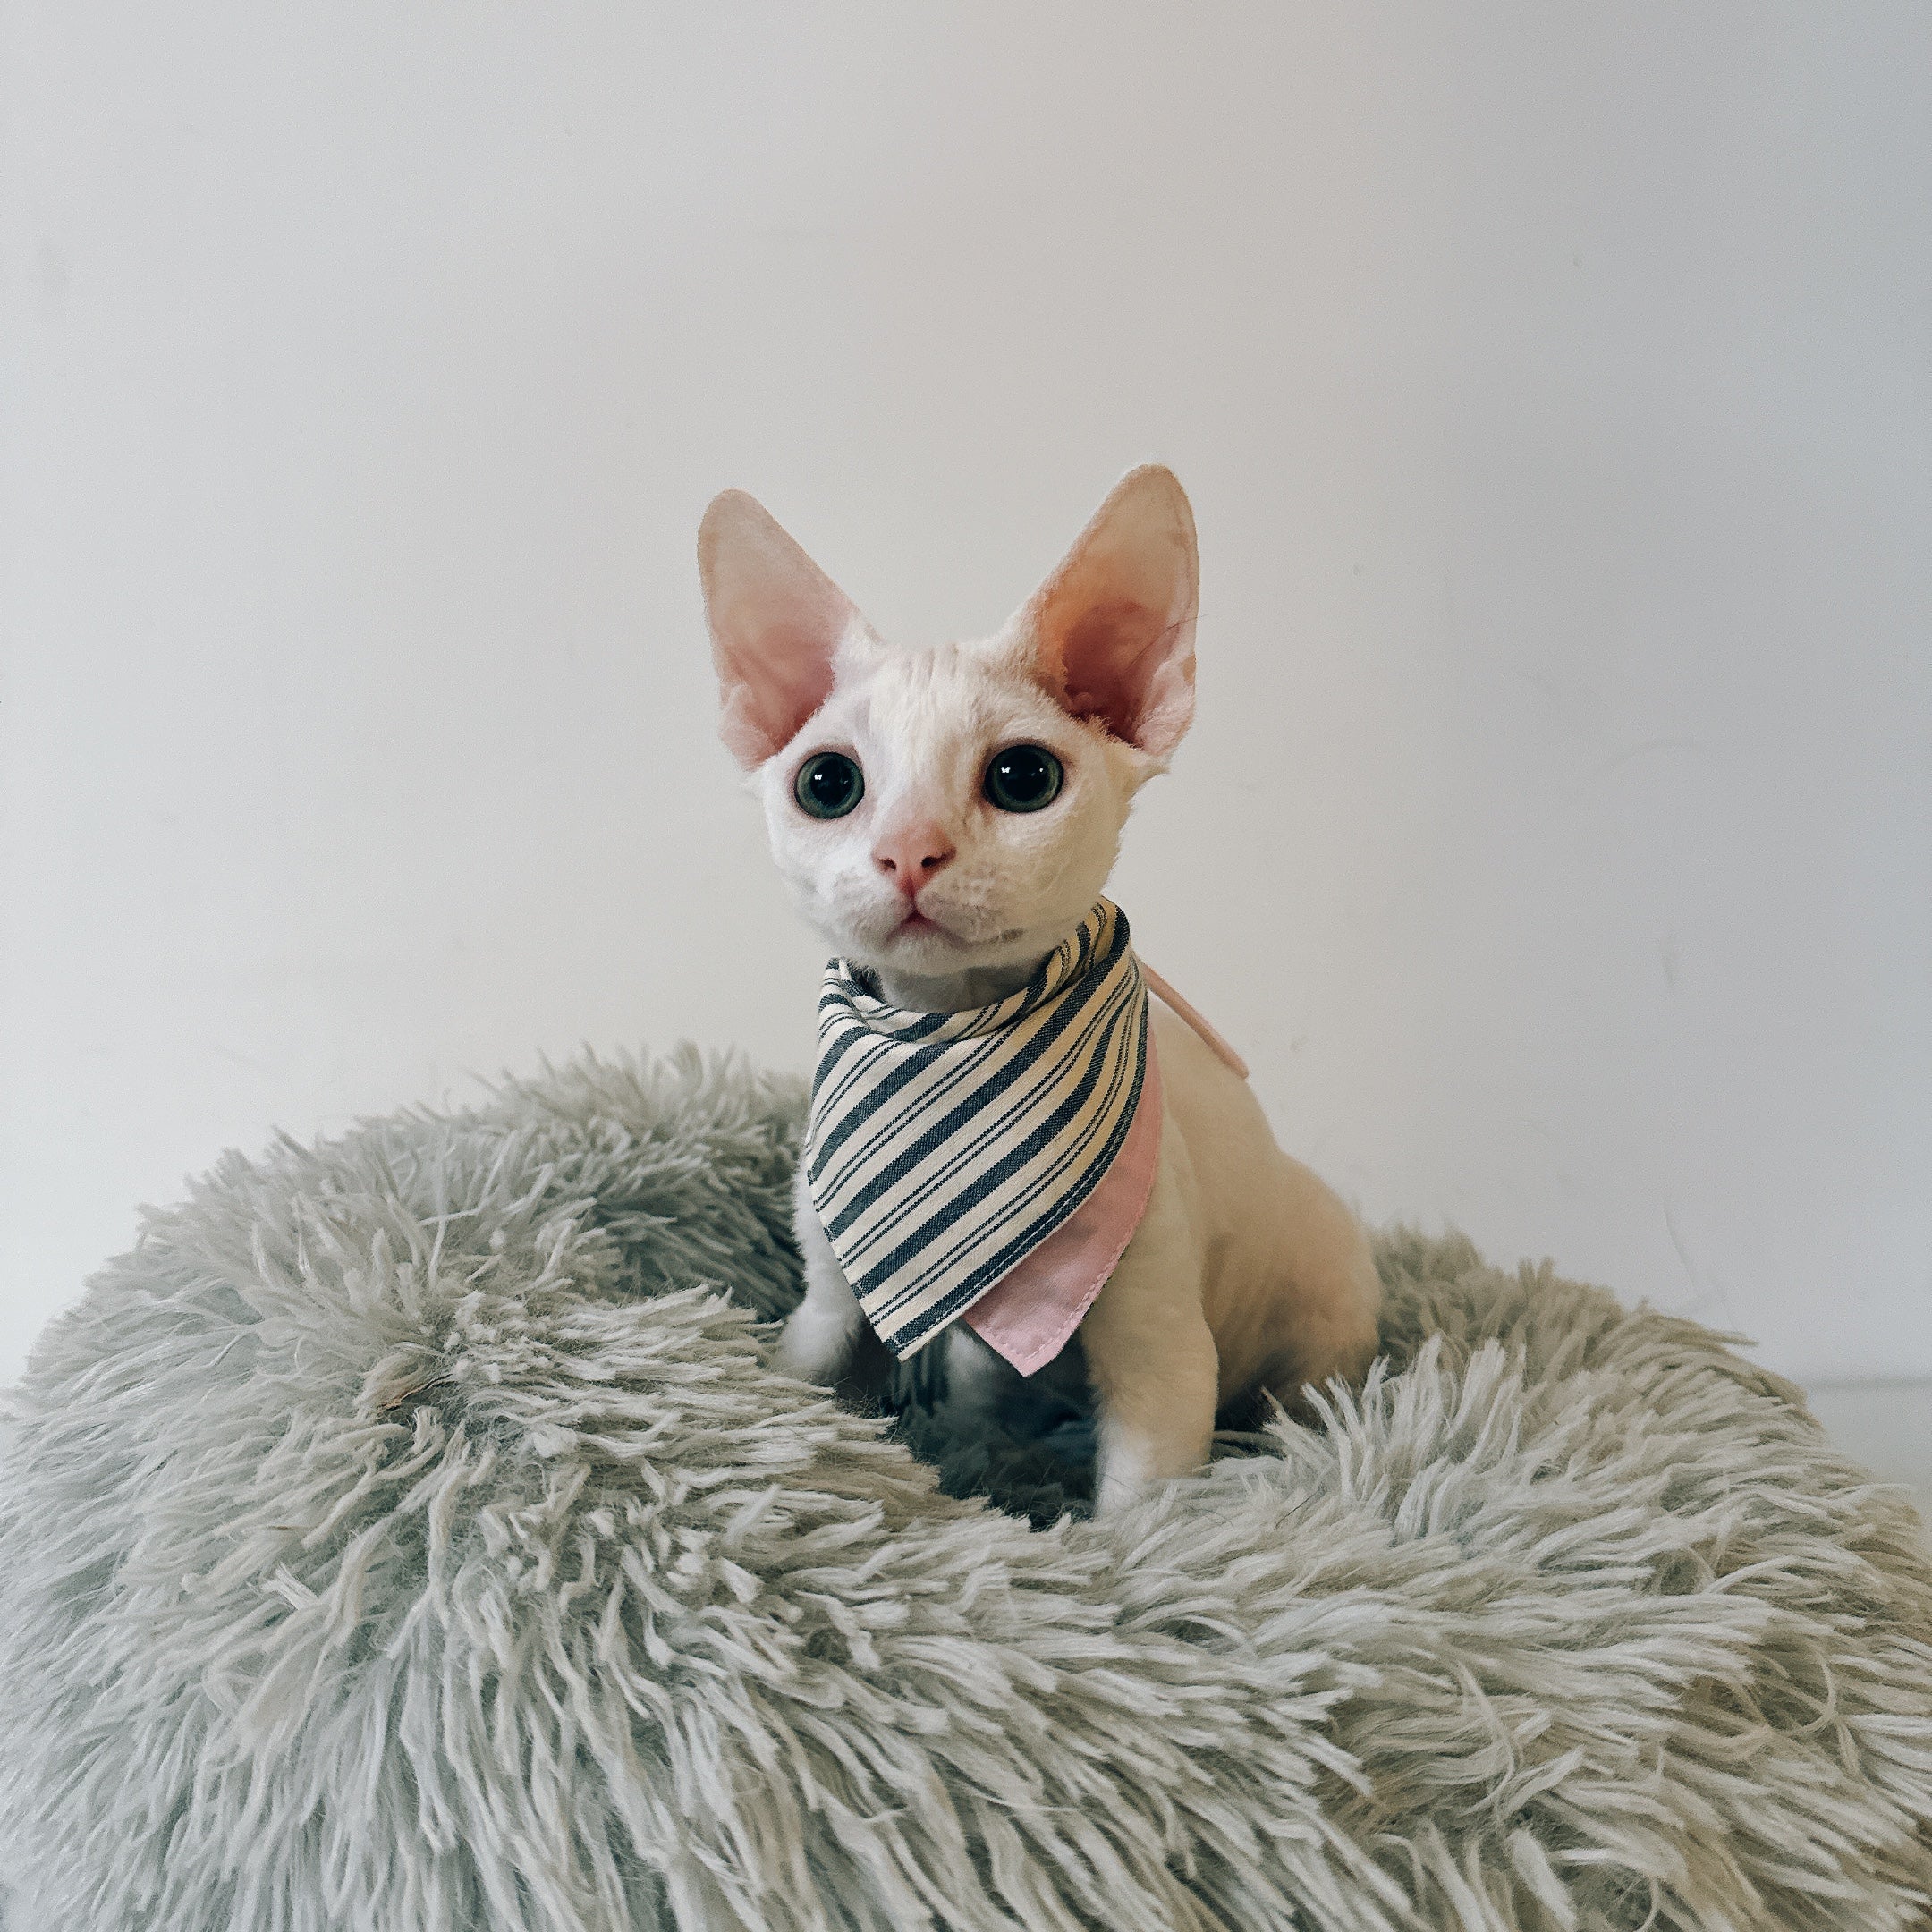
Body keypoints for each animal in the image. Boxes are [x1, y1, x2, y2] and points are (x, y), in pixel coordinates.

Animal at [703, 463, 1383, 1506]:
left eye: (1023, 778)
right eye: (826, 784)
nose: (909, 850)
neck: (950, 1031)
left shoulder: (1161, 1352)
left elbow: (1144, 1506)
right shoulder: (829, 1300)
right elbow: (808, 1383)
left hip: (1321, 1312)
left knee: (1305, 1397)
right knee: (987, 1390)